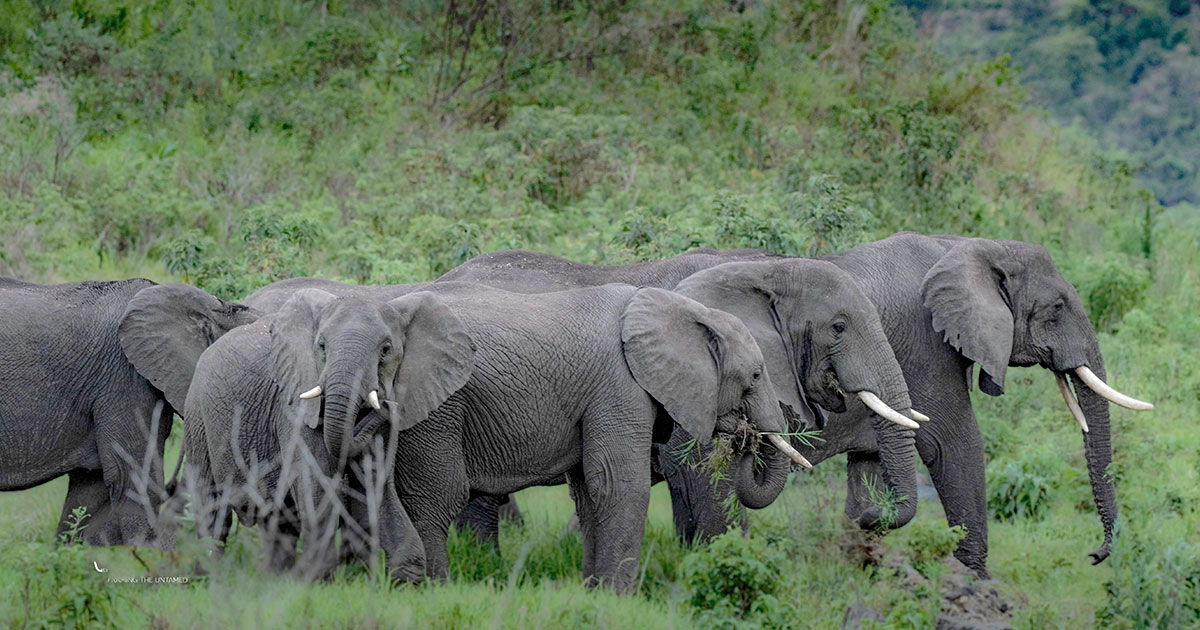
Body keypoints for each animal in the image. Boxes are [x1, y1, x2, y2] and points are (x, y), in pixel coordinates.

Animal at [119, 284, 474, 582]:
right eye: (321, 346)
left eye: (386, 350)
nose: (388, 405)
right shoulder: (293, 404)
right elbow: (317, 485)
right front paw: (317, 580)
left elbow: (376, 483)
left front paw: (404, 580)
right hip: (199, 419)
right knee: (212, 508)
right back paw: (210, 577)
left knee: (279, 521)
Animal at [441, 232, 1154, 577]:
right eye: (1056, 307)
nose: (1096, 557)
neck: (961, 243)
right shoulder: (924, 354)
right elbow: (953, 446)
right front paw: (976, 585)